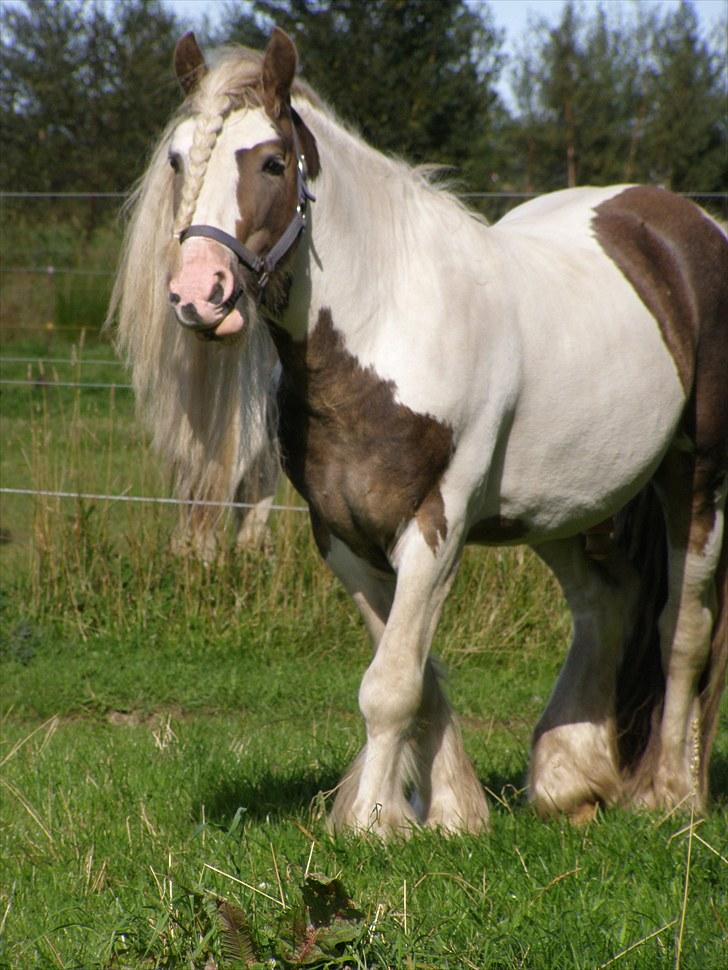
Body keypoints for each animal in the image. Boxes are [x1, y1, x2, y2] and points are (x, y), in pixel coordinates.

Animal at [109, 30, 728, 832]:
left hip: (697, 475)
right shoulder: (342, 535)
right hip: (566, 501)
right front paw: (447, 810)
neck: (389, 326)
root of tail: (682, 227)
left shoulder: (437, 524)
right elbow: (414, 674)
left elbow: (392, 683)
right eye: (178, 159)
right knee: (609, 602)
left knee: (682, 626)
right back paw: (570, 781)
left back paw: (670, 794)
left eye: (272, 162)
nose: (197, 294)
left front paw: (373, 822)